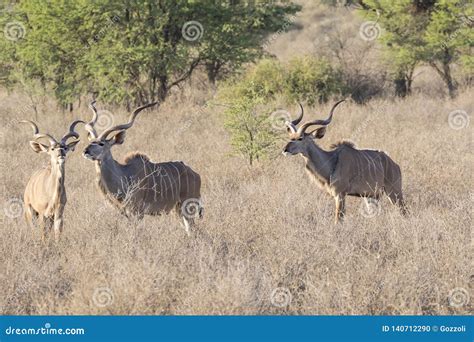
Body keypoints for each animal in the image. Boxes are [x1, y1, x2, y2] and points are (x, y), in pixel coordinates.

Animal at [82, 101, 203, 235]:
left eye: (101, 143)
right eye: (90, 142)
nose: (85, 151)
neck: (124, 174)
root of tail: (196, 175)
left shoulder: (137, 212)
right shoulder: (127, 213)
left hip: (187, 206)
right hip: (177, 210)